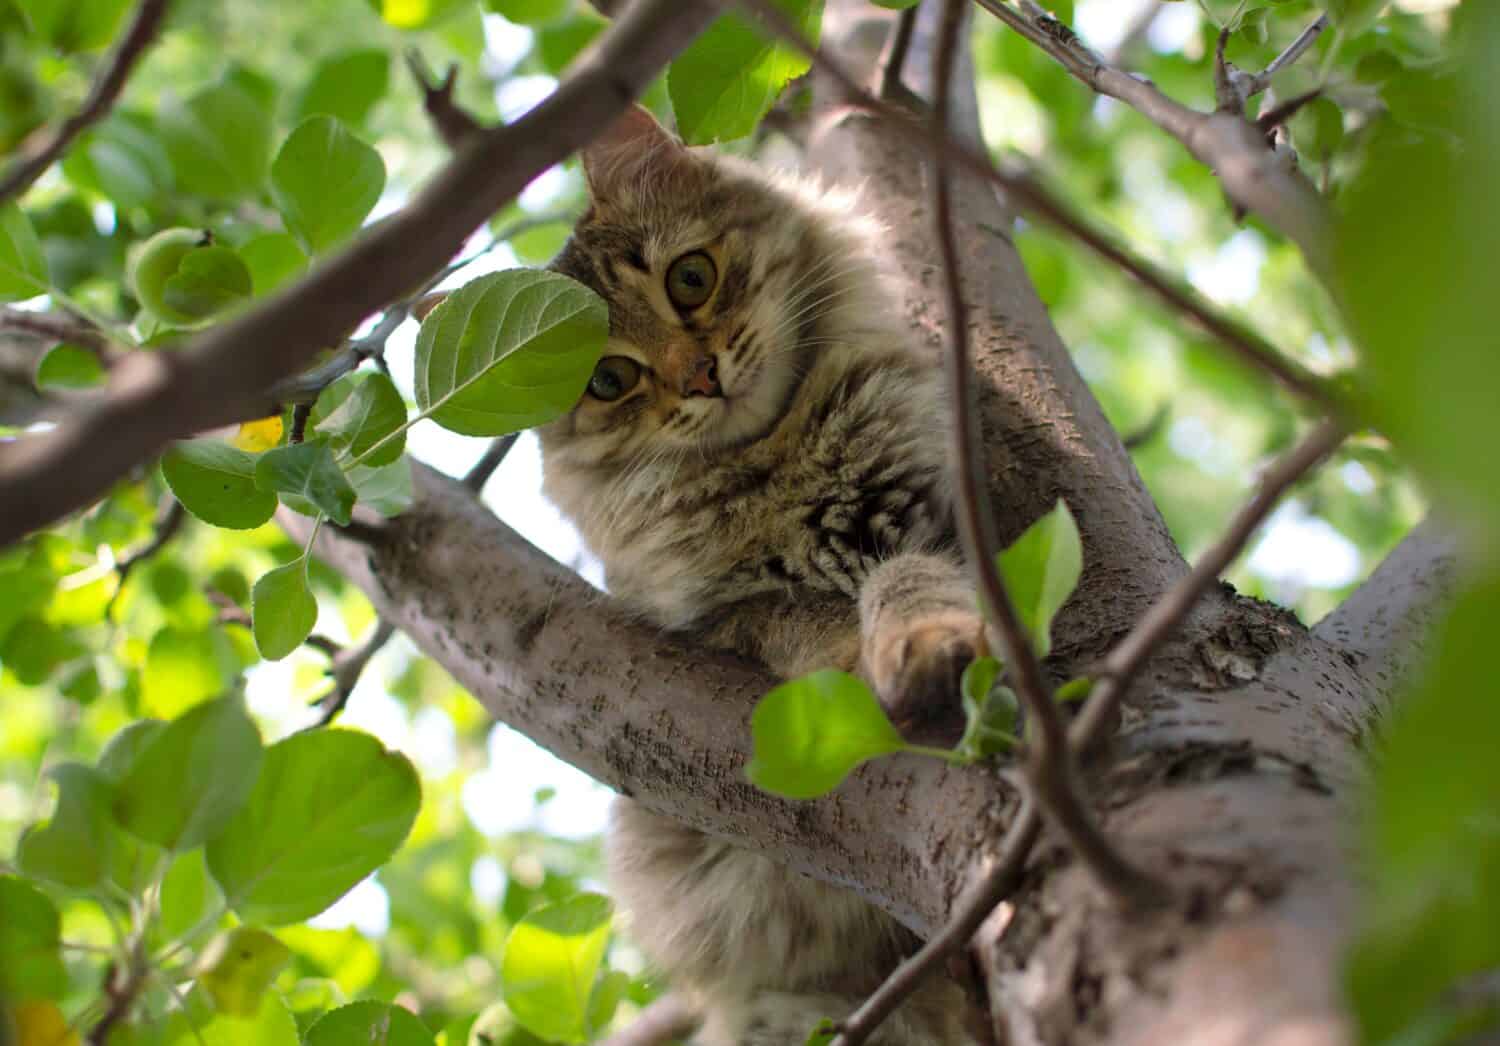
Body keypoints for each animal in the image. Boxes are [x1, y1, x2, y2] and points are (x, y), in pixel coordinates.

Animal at [543, 108, 984, 1044]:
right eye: (610, 379)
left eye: (691, 280)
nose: (700, 378)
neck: (782, 455)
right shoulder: (735, 616)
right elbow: (818, 618)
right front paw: (878, 661)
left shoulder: (940, 510)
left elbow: (905, 580)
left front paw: (927, 640)